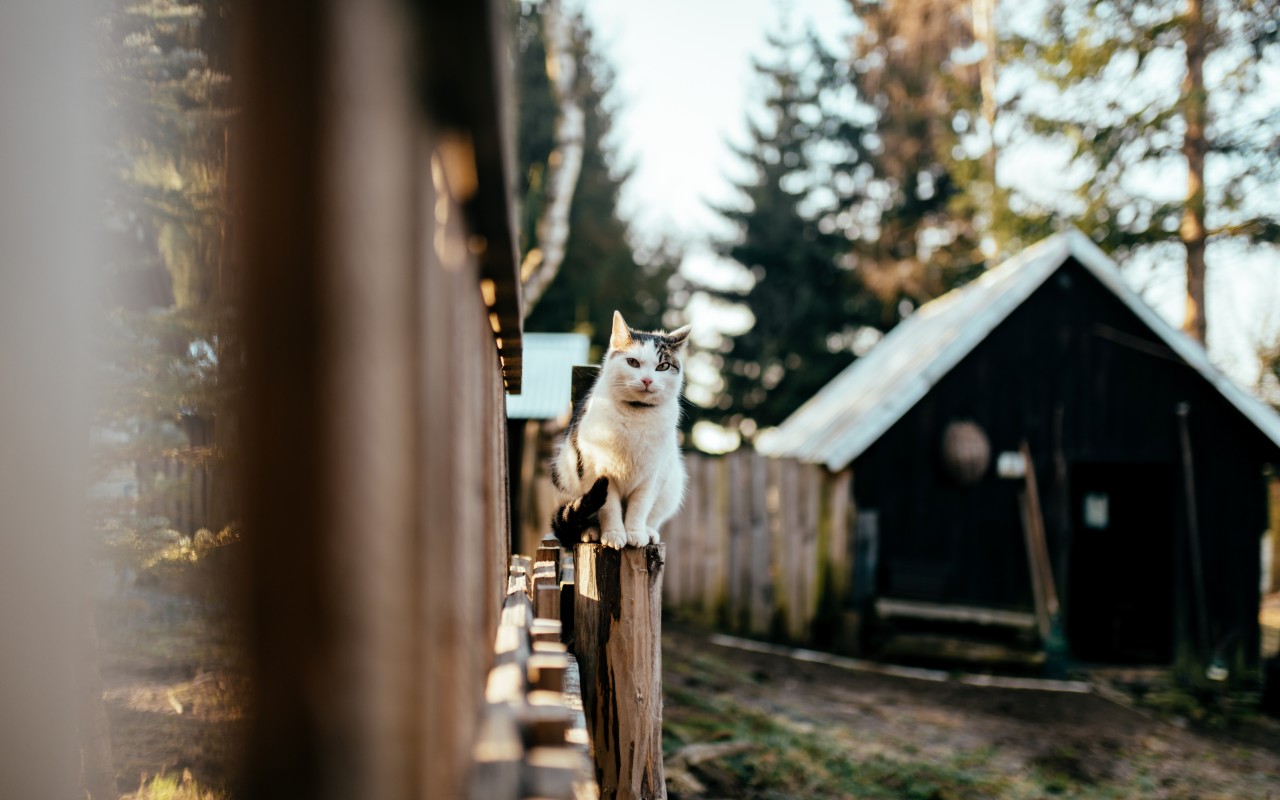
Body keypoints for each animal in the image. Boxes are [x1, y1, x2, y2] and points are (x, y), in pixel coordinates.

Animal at [550, 308, 691, 545]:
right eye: (632, 362)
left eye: (663, 366)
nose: (647, 380)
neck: (637, 415)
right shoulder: (597, 471)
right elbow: (609, 507)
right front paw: (614, 534)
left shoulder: (652, 476)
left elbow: (639, 507)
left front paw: (635, 533)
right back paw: (592, 532)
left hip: (672, 483)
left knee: (653, 516)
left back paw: (649, 532)